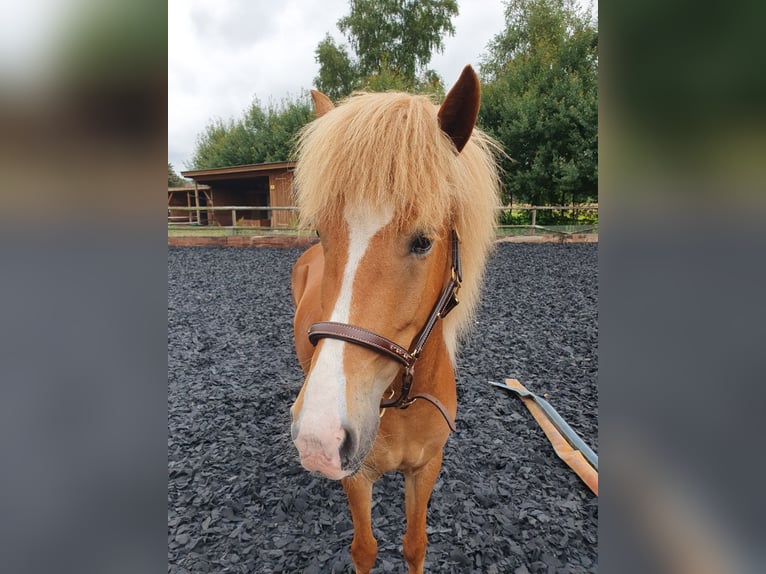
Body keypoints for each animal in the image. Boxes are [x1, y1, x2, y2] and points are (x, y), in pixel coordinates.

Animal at [289, 65, 501, 573]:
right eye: (322, 231)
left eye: (423, 241)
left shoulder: (426, 468)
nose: (318, 437)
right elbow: (365, 548)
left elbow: (415, 543)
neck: (401, 402)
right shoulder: (357, 476)